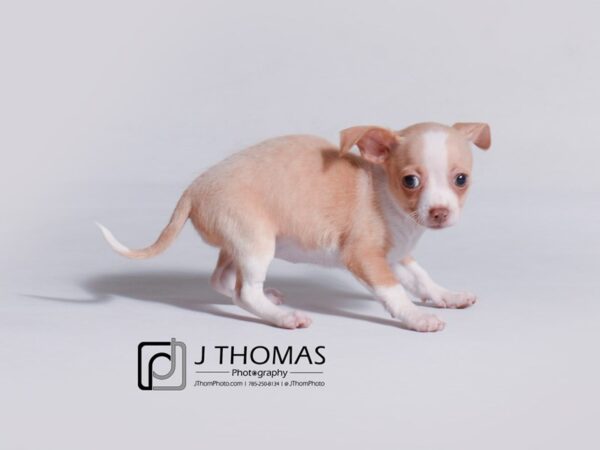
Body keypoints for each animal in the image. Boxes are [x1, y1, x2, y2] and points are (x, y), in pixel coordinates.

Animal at [98, 121, 490, 332]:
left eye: (461, 179)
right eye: (410, 181)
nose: (439, 212)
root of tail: (192, 190)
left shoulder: (396, 254)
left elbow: (422, 278)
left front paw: (447, 296)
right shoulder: (365, 257)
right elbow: (394, 292)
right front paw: (417, 317)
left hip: (238, 242)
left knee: (222, 281)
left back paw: (268, 299)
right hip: (257, 242)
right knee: (245, 292)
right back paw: (282, 317)